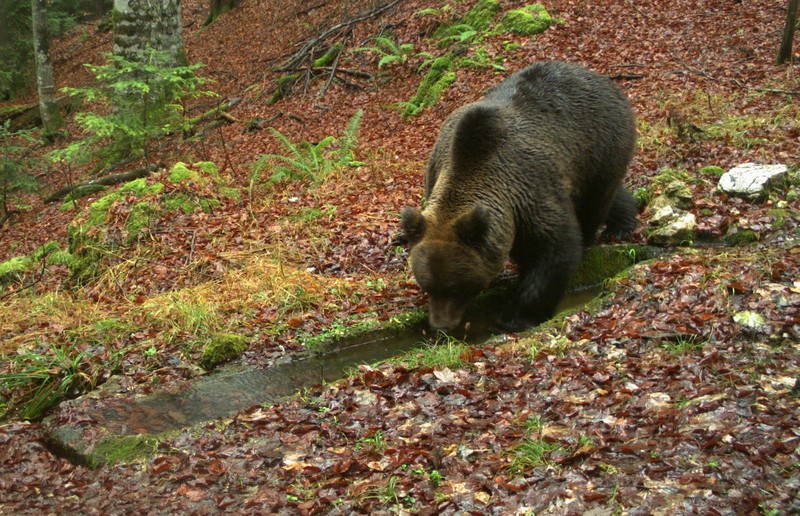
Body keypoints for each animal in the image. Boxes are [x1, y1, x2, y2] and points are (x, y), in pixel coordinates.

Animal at [400, 60, 636, 332]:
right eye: (428, 286)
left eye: (457, 287)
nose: (441, 326)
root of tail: (596, 76)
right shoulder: (437, 169)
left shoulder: (530, 189)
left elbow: (554, 248)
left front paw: (514, 317)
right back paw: (623, 221)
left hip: (600, 144)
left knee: (595, 201)